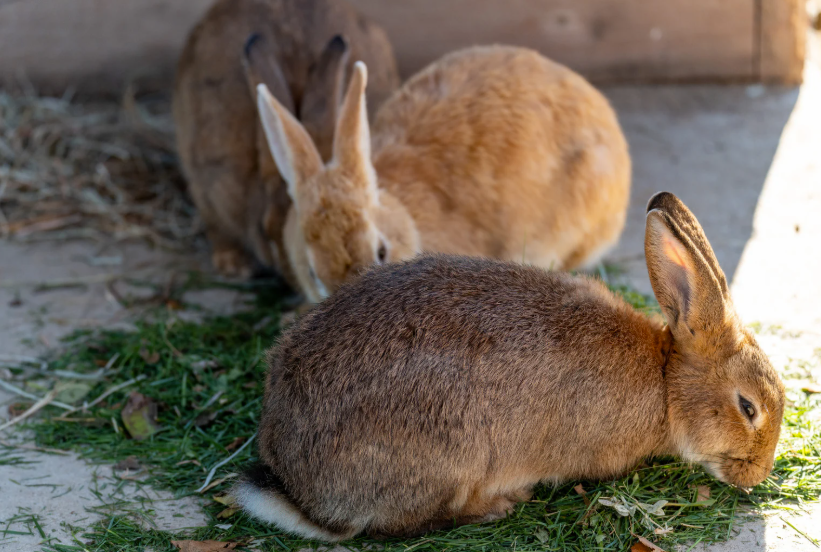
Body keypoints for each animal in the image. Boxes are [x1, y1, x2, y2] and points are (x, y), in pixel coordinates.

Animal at [234, 191, 785, 541]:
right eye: (747, 407)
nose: (757, 475)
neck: (666, 382)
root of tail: (300, 491)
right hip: (450, 455)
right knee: (397, 526)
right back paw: (498, 504)